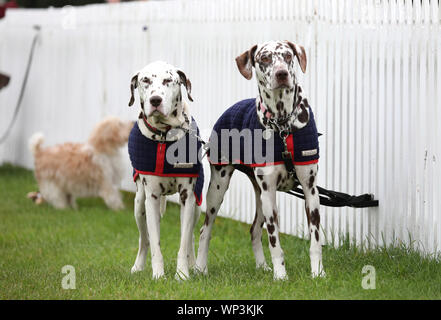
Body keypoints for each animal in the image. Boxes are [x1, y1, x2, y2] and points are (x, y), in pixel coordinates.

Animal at [127, 60, 203, 280]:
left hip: (197, 207)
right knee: (144, 239)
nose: (155, 100)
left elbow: (184, 242)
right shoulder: (151, 197)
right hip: (139, 205)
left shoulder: (187, 197)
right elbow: (154, 244)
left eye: (169, 80)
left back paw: (193, 264)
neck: (164, 135)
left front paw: (182, 274)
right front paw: (158, 275)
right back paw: (138, 266)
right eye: (145, 80)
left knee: (191, 237)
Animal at [195, 40, 324, 280]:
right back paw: (199, 268)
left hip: (260, 197)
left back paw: (262, 266)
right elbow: (275, 242)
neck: (283, 125)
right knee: (204, 230)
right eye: (264, 58)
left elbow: (315, 240)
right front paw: (281, 276)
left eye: (288, 56)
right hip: (219, 188)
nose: (282, 73)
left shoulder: (310, 191)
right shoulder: (270, 194)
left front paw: (318, 273)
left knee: (254, 230)